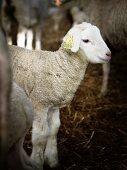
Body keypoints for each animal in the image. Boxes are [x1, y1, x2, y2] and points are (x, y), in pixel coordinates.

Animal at [8, 22, 110, 169]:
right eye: (86, 40)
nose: (109, 54)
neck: (58, 66)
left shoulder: (54, 105)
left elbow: (54, 129)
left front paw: (52, 160)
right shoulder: (39, 103)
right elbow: (40, 136)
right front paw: (37, 162)